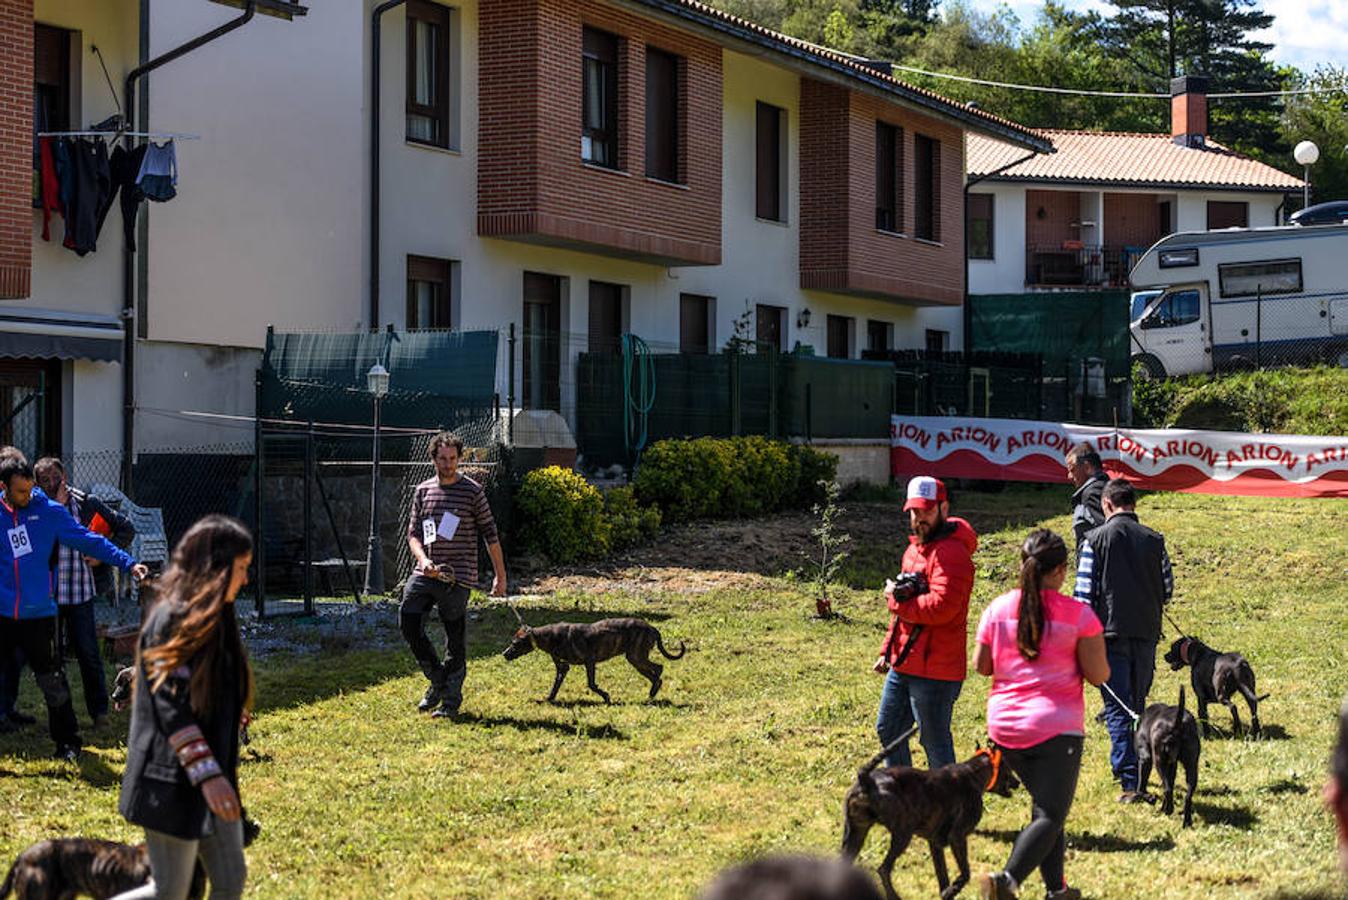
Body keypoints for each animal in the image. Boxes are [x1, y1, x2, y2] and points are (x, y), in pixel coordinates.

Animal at [501, 619, 684, 700]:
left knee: (658, 669)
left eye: (515, 643)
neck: (547, 636)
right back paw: (652, 692)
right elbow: (555, 686)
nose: (504, 654)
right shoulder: (563, 668)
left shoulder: (590, 661)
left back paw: (653, 692)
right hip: (636, 659)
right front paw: (548, 699)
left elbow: (591, 684)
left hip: (636, 657)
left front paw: (605, 696)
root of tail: (652, 627)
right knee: (656, 671)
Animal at [835, 727, 1013, 900]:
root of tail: (867, 781)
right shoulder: (957, 837)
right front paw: (954, 889)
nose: (1017, 782)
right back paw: (894, 896)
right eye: (1009, 769)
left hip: (855, 835)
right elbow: (965, 873)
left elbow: (943, 876)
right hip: (902, 834)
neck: (973, 772)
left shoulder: (935, 844)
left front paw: (947, 893)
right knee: (883, 869)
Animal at [1137, 689, 1202, 829]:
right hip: (1191, 764)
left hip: (1159, 761)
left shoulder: (1145, 759)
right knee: (1186, 795)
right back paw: (1186, 821)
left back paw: (1168, 810)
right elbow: (1170, 784)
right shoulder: (1172, 764)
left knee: (1167, 789)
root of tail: (1177, 723)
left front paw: (1145, 796)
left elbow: (1141, 784)